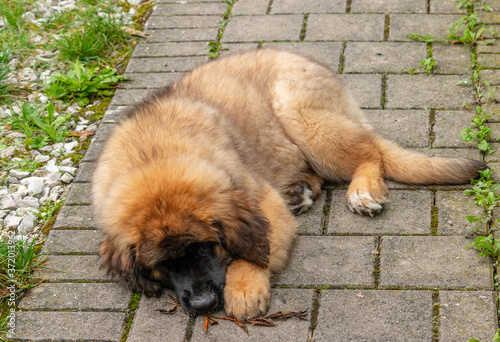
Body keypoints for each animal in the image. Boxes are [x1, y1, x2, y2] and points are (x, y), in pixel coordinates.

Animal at [92, 48, 486, 320]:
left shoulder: (260, 200)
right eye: (164, 262)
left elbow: (254, 249)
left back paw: (362, 190)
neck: (153, 155)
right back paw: (300, 191)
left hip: (295, 108)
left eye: (207, 247)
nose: (203, 304)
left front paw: (244, 288)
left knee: (369, 151)